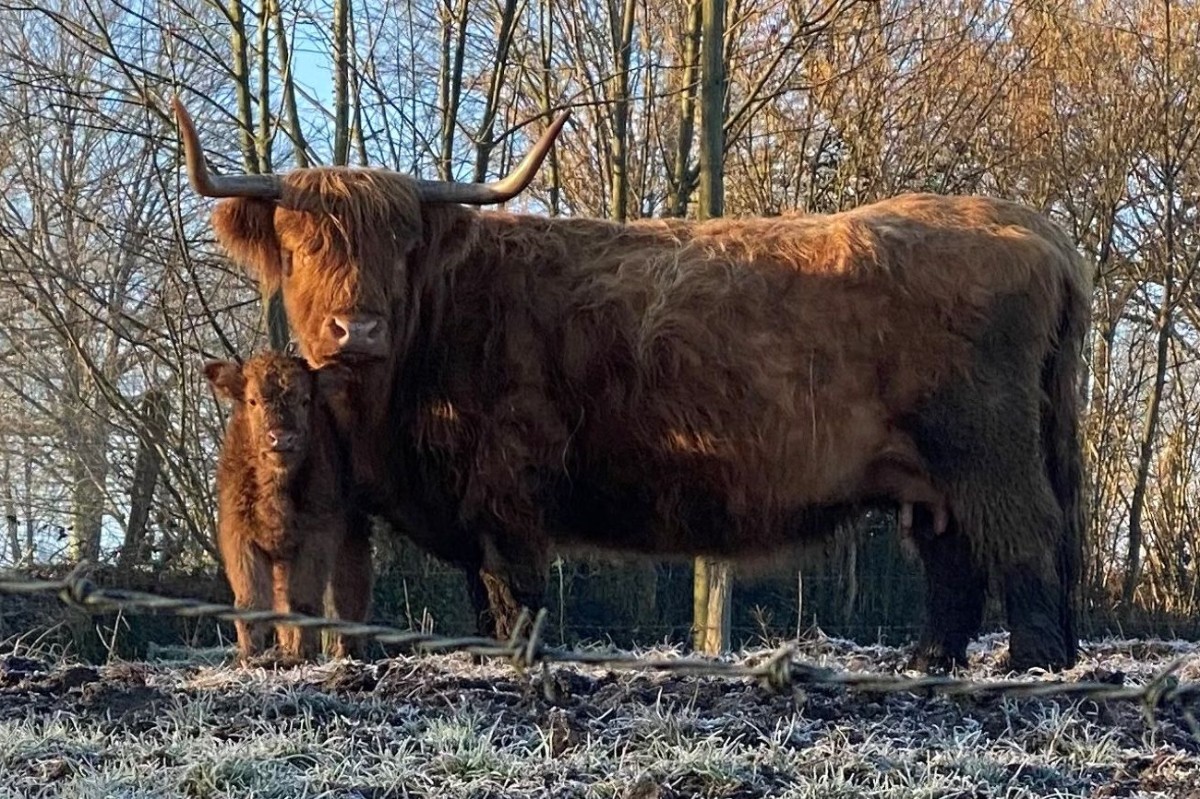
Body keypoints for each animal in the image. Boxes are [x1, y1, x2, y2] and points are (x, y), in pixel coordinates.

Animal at [206, 352, 372, 657]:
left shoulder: (317, 535)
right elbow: (252, 602)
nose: (281, 437)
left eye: (305, 400)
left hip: (352, 529)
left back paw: (347, 651)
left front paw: (303, 653)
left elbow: (304, 600)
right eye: (253, 401)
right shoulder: (239, 535)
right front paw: (250, 656)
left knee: (351, 587)